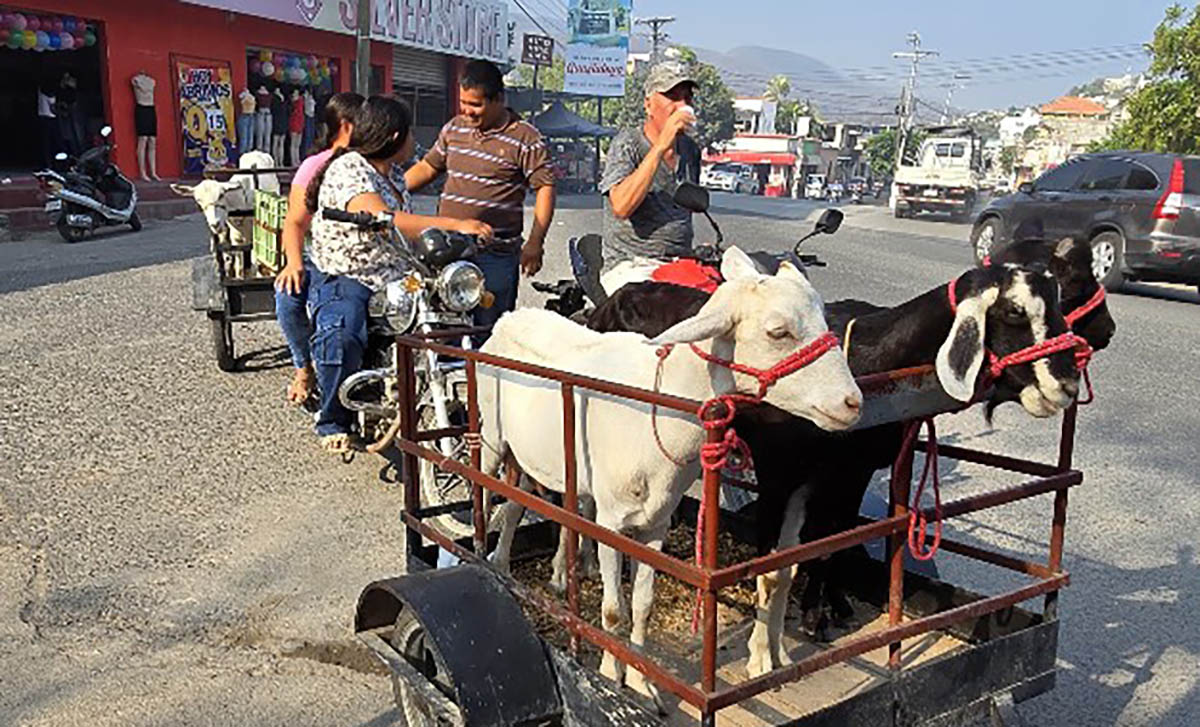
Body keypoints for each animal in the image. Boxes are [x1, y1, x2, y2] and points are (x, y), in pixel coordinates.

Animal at [479, 247, 863, 710]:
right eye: (778, 332)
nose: (852, 403)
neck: (660, 405)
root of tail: (509, 317)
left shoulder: (656, 521)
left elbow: (642, 604)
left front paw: (641, 683)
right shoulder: (613, 521)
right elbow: (613, 610)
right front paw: (610, 675)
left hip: (534, 454)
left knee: (519, 500)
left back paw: (513, 565)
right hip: (491, 434)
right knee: (485, 490)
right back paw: (480, 557)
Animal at [586, 242, 1109, 678]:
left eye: (1061, 299)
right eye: (1015, 311)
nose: (1066, 384)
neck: (875, 356)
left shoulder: (846, 473)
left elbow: (824, 545)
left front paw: (804, 627)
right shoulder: (780, 473)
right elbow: (772, 566)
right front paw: (766, 651)